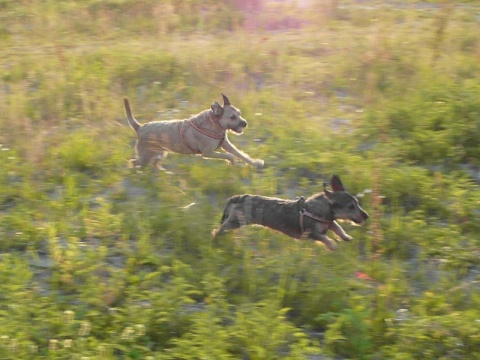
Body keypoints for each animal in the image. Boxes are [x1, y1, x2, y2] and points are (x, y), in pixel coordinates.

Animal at [124, 95, 264, 169]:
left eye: (239, 113)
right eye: (232, 117)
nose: (245, 123)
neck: (214, 123)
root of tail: (140, 127)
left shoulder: (226, 145)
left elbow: (241, 154)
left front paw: (255, 163)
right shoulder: (208, 153)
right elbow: (229, 155)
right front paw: (232, 162)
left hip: (160, 152)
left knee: (154, 163)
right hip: (145, 156)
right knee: (134, 162)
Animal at [212, 175, 370, 250]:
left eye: (357, 202)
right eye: (351, 206)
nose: (366, 216)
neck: (322, 209)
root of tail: (238, 197)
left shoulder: (329, 223)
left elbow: (338, 228)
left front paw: (346, 237)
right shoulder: (311, 233)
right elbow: (325, 238)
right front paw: (332, 246)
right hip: (235, 222)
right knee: (220, 228)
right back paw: (216, 238)